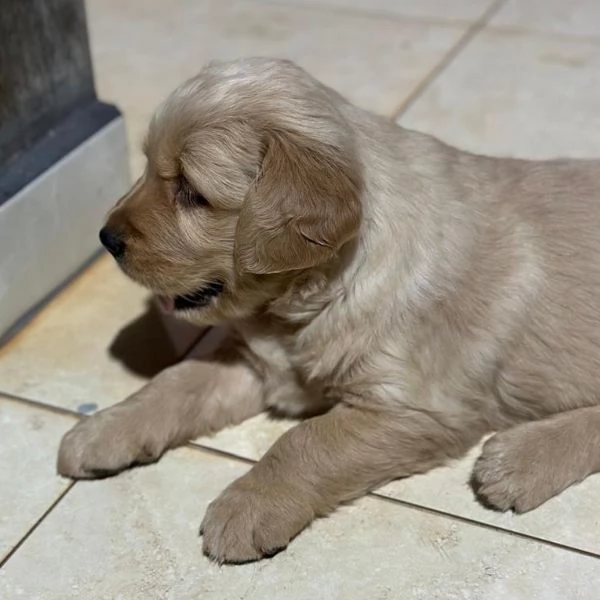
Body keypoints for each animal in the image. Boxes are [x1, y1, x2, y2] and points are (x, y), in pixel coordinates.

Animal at [58, 56, 600, 564]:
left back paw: (519, 461)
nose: (107, 239)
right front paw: (103, 430)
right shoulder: (262, 366)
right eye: (148, 166)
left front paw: (248, 505)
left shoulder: (414, 407)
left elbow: (309, 441)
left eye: (192, 192)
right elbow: (176, 382)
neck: (310, 296)